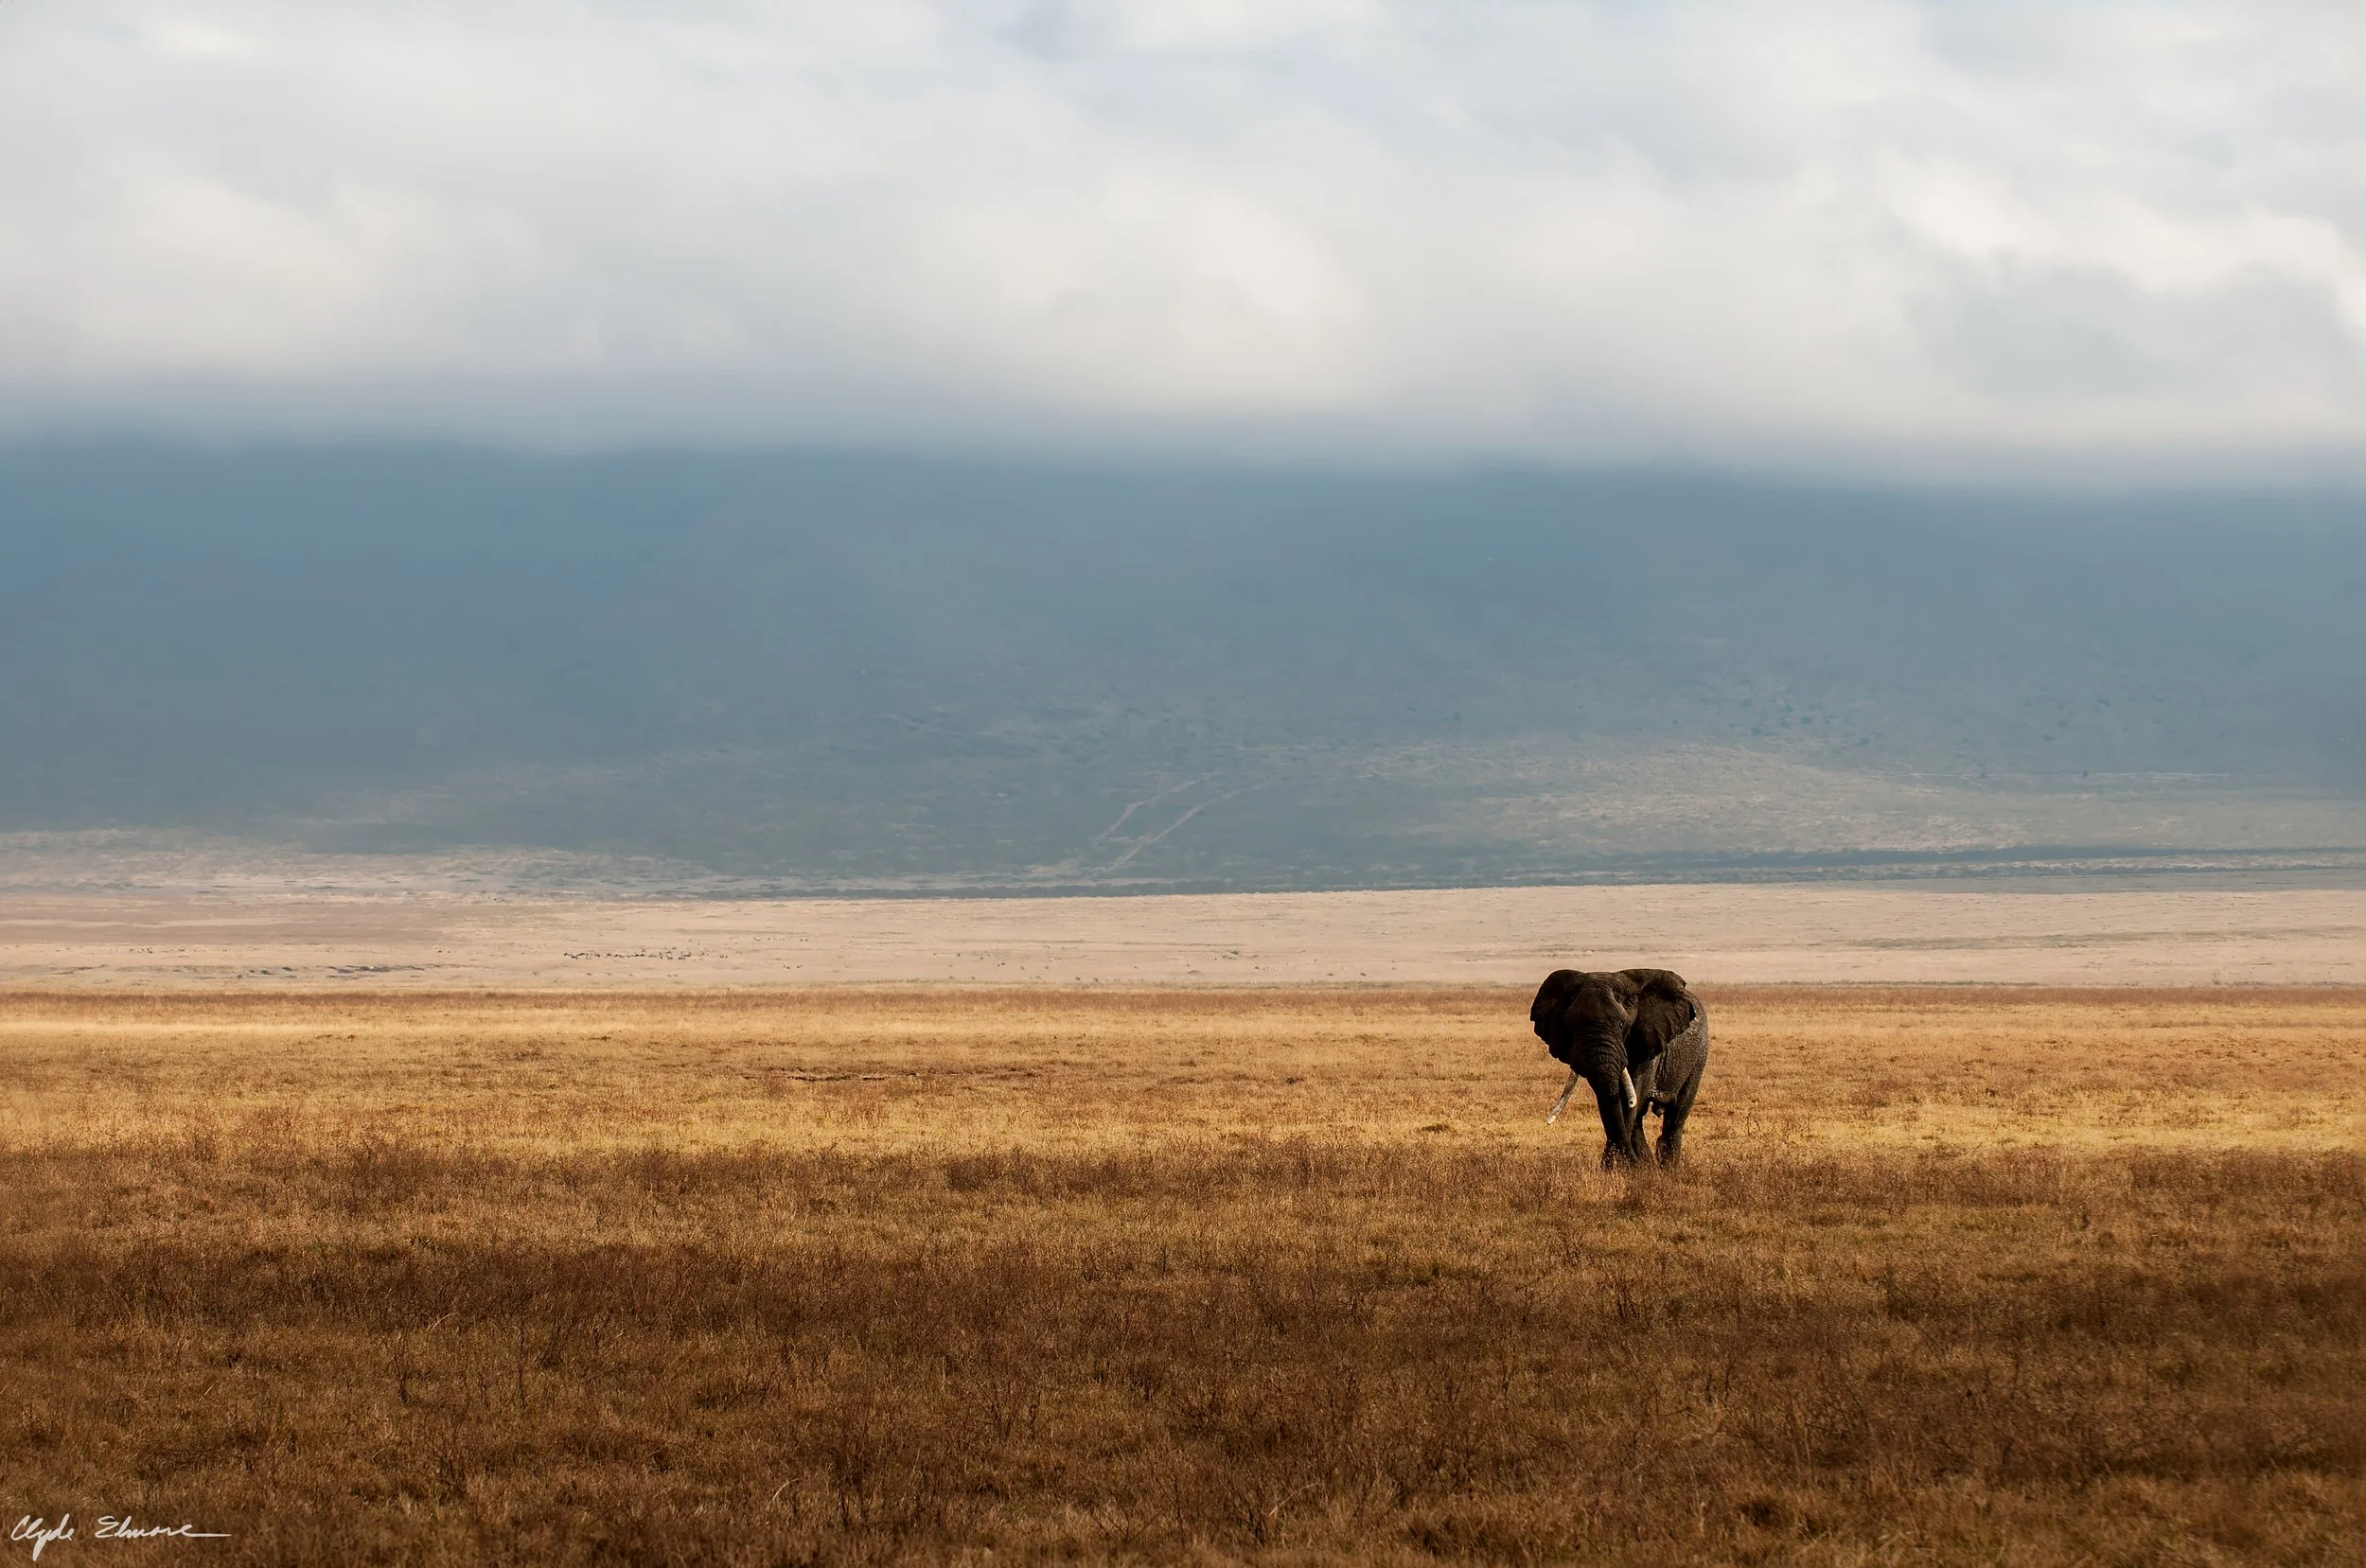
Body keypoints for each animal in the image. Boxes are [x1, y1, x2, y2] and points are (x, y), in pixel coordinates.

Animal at [1530, 968, 1709, 1167]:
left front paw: (1616, 1167)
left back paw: (1667, 1168)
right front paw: (1624, 1167)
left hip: (1699, 1054)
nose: (1631, 1161)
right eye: (1570, 1025)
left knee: (1677, 1113)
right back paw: (1649, 1165)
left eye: (1622, 1024)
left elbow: (1631, 1096)